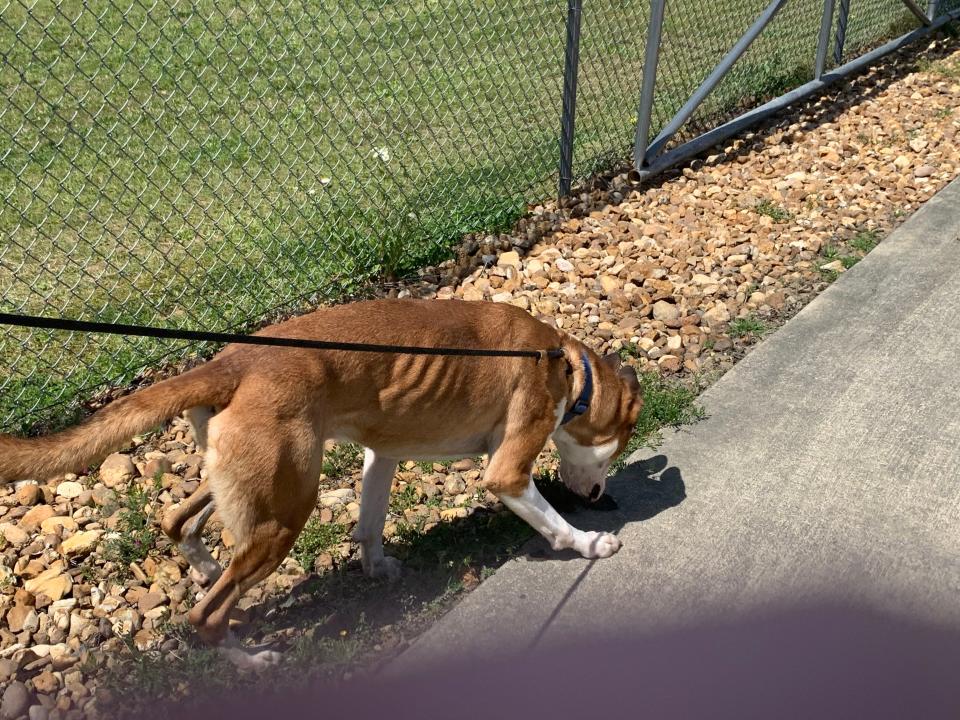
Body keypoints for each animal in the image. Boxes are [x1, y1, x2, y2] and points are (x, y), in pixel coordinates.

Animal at [3, 296, 644, 664]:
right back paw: (251, 660)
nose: (603, 499)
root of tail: (231, 362)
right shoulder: (507, 471)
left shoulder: (382, 452)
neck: (564, 365)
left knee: (178, 521)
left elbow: (370, 521)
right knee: (202, 616)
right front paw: (590, 543)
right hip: (286, 509)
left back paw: (210, 572)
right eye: (615, 449)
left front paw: (376, 568)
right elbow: (551, 523)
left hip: (255, 482)